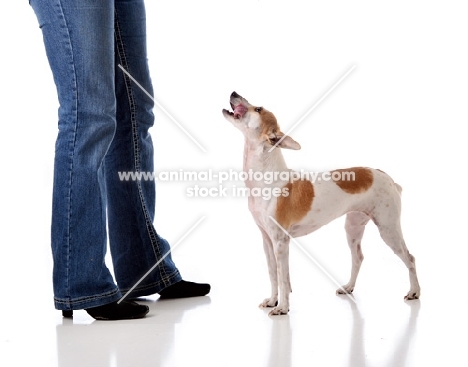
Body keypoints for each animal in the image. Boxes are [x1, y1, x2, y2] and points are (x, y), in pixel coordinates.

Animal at [222, 91, 420, 316]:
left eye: (257, 109)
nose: (234, 93)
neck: (267, 178)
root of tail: (386, 176)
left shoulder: (281, 242)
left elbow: (283, 278)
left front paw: (283, 308)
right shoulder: (267, 240)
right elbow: (273, 274)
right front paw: (273, 301)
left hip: (388, 229)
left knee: (410, 258)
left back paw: (414, 292)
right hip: (353, 228)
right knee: (358, 257)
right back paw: (349, 287)